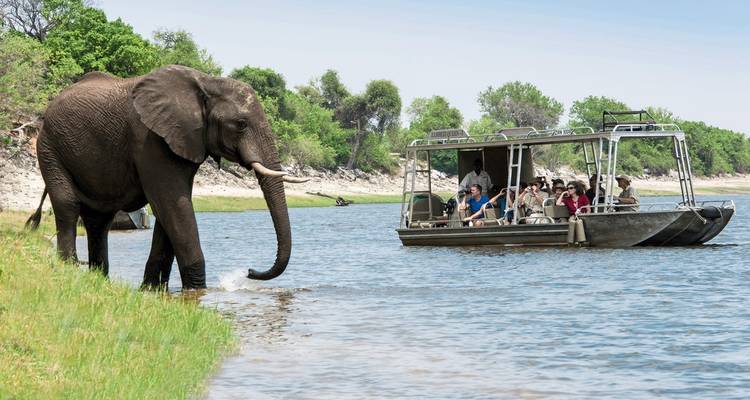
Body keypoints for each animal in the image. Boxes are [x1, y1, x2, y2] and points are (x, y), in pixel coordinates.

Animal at [26, 65, 307, 290]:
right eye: (240, 124)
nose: (249, 272)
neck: (206, 82)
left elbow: (169, 211)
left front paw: (152, 289)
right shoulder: (149, 139)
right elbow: (173, 204)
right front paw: (195, 291)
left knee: (99, 221)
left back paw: (98, 279)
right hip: (49, 146)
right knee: (67, 204)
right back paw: (71, 269)